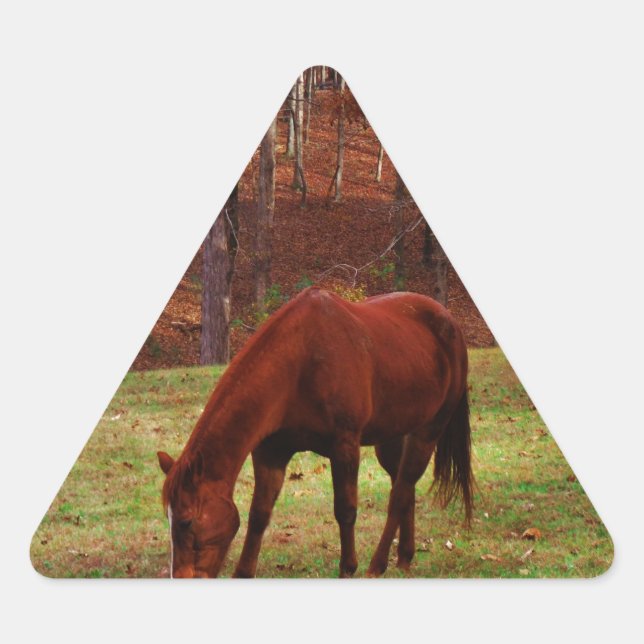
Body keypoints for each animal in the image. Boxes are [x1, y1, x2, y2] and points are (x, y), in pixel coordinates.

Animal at [157, 286, 474, 578]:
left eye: (185, 521)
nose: (179, 577)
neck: (299, 363)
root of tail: (451, 323)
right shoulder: (270, 452)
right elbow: (259, 514)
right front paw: (243, 573)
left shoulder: (345, 446)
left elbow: (345, 510)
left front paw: (348, 568)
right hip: (392, 436)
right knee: (404, 486)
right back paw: (405, 556)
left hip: (428, 431)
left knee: (399, 493)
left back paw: (377, 564)